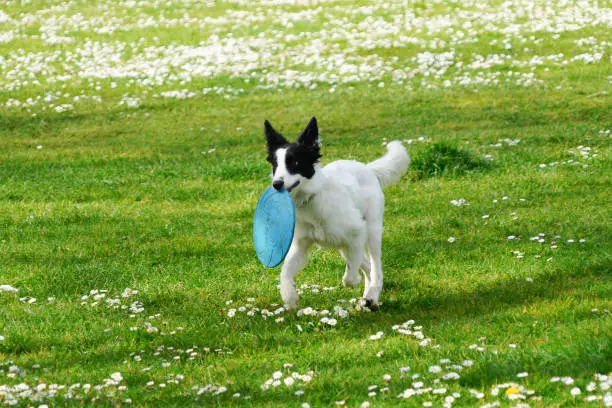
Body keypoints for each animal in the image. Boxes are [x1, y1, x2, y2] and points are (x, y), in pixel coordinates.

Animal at [264, 116, 412, 310]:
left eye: (295, 162)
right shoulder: (301, 246)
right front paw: (290, 297)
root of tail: (367, 168)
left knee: (375, 267)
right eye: (275, 165)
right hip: (342, 243)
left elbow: (350, 274)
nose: (277, 184)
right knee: (366, 264)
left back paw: (372, 295)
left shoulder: (357, 231)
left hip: (371, 231)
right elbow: (285, 271)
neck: (312, 199)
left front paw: (354, 281)